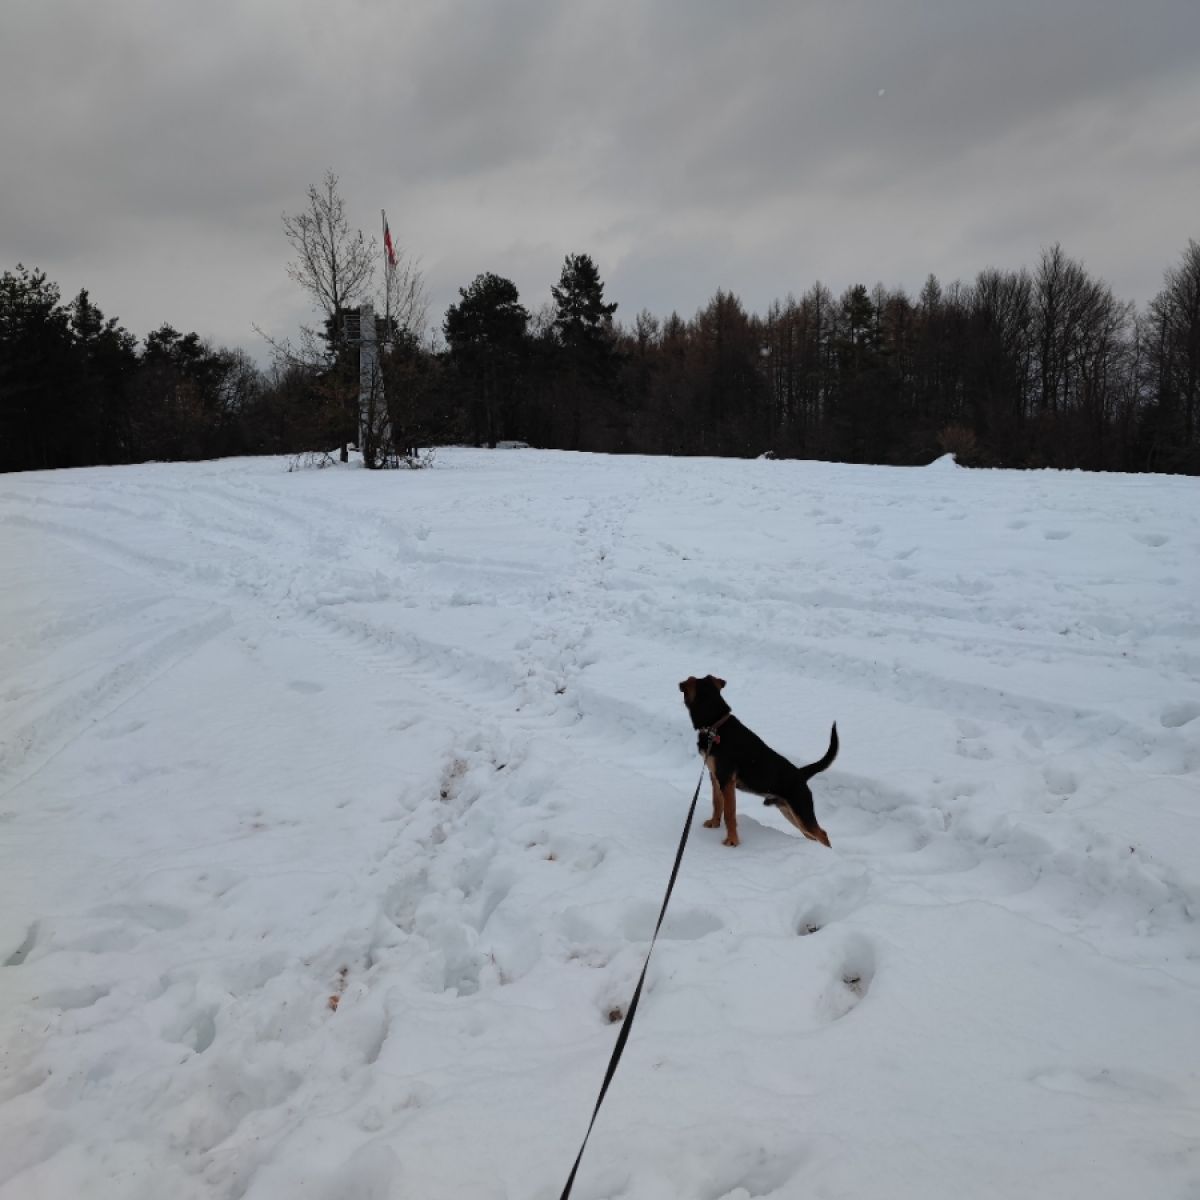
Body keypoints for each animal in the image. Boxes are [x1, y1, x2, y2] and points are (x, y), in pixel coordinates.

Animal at [679, 675, 837, 848]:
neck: (715, 726)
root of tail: (800, 773)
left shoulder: (727, 781)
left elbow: (729, 813)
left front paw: (732, 841)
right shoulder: (715, 776)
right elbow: (717, 803)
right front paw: (714, 823)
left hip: (801, 809)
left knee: (822, 834)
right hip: (790, 812)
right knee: (814, 835)